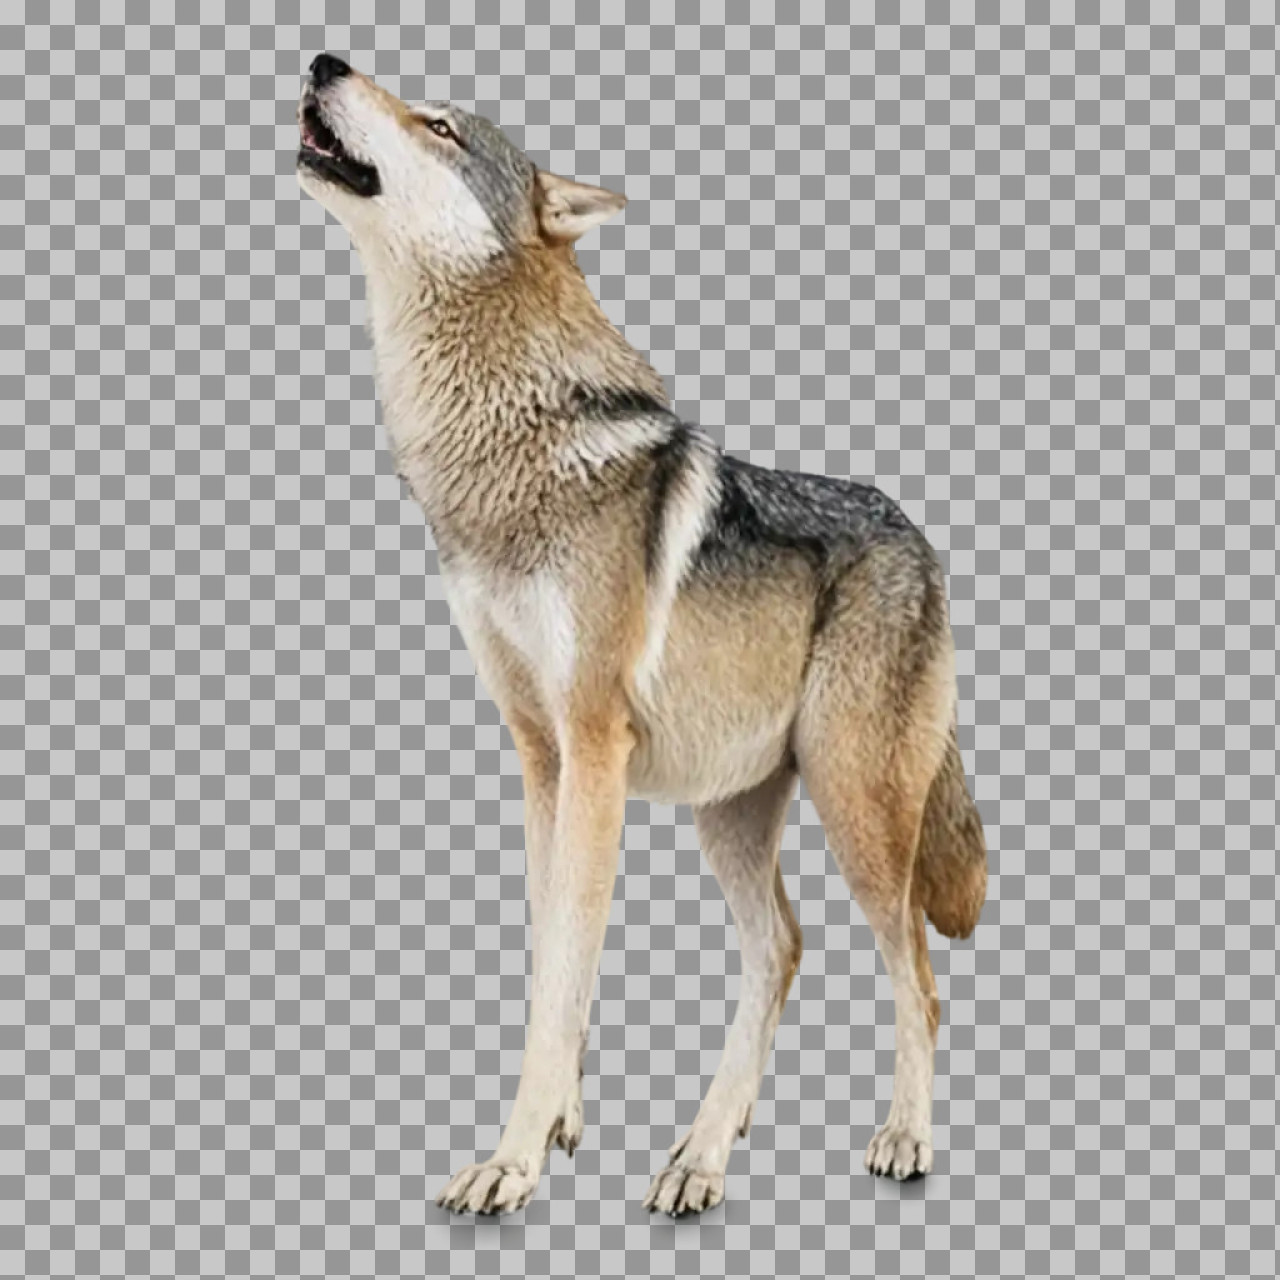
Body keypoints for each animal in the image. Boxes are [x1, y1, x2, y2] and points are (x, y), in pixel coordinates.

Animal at [295, 53, 987, 1217]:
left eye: (438, 126)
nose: (326, 61)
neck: (493, 461)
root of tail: (920, 539)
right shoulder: (541, 755)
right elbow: (552, 963)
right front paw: (558, 1127)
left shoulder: (594, 747)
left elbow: (562, 973)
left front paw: (511, 1161)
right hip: (732, 811)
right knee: (783, 949)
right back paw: (703, 1152)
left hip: (856, 807)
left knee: (918, 980)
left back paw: (898, 1139)